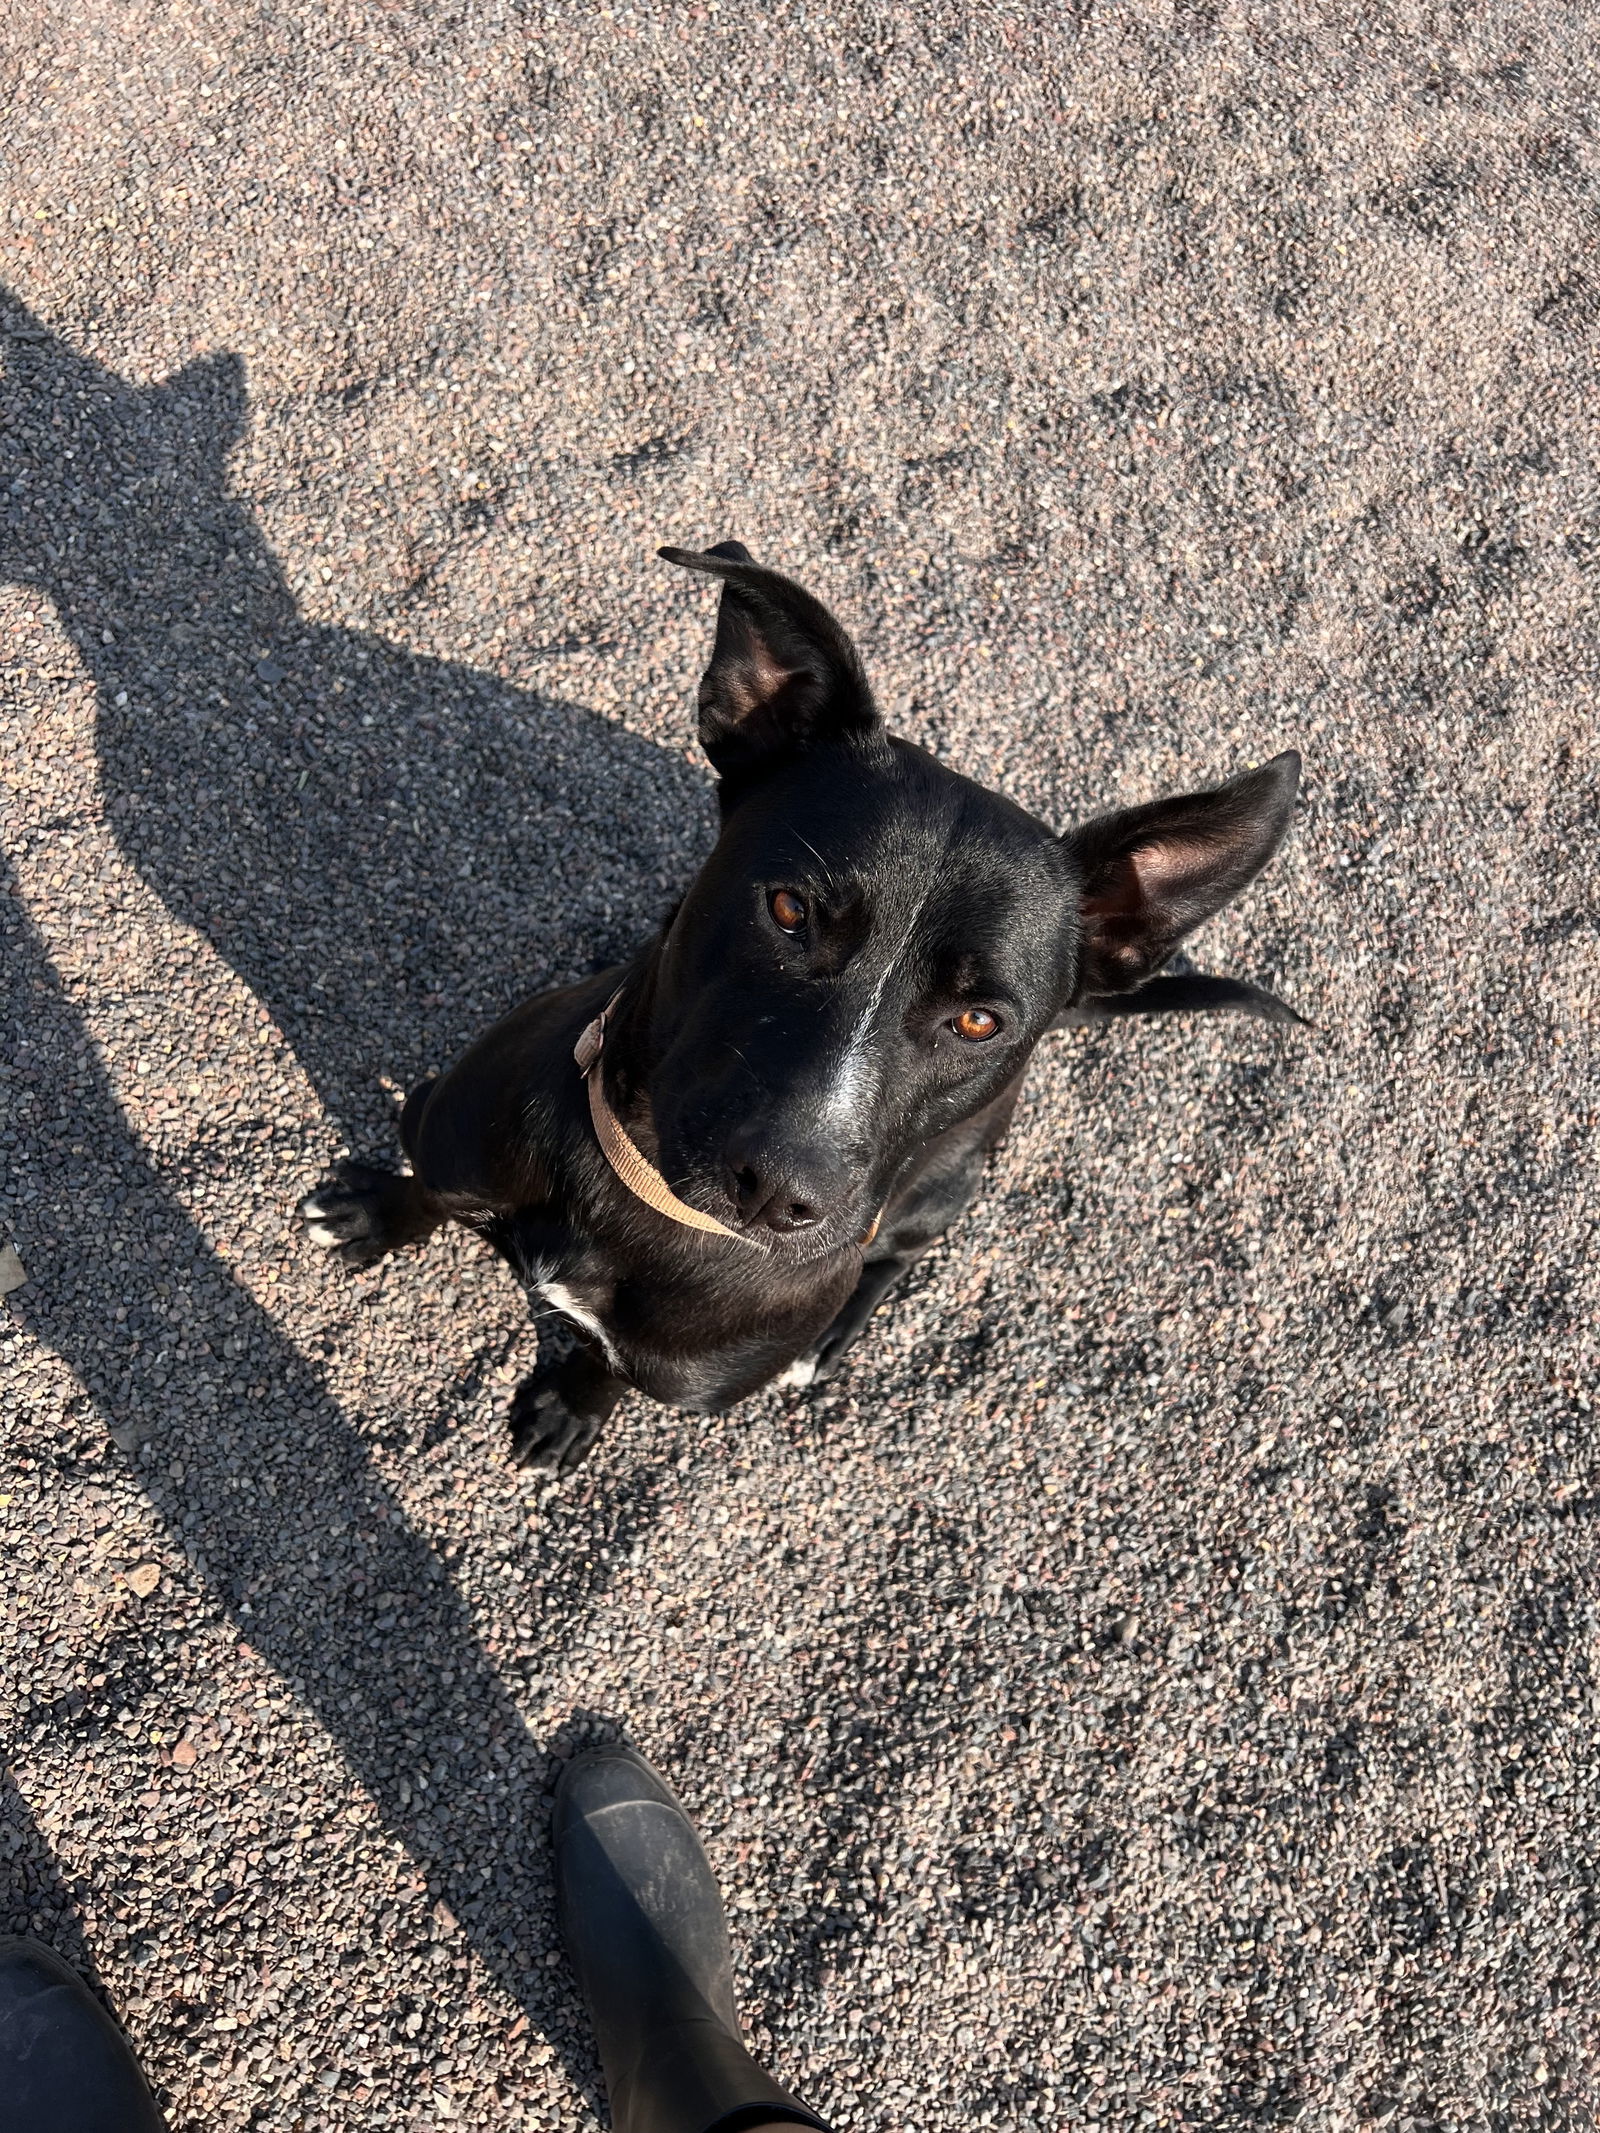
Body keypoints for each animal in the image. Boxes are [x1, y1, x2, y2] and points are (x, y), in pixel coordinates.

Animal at [300, 541, 1305, 1467]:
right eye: (789, 910)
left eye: (978, 1020)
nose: (781, 1190)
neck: (646, 1211)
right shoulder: (453, 1138)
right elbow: (427, 1187)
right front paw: (375, 1210)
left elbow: (609, 1368)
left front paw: (573, 1405)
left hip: (945, 1189)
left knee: (892, 1259)